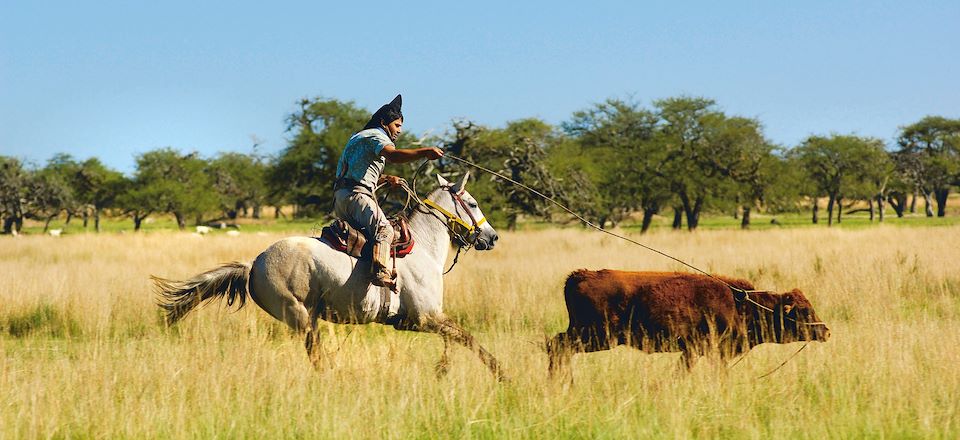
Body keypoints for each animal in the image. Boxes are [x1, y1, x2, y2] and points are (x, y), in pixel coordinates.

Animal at [154, 174, 506, 380]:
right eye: (472, 202)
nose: (491, 237)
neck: (422, 247)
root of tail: (253, 264)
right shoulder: (426, 318)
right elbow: (468, 339)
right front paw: (501, 374)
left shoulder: (417, 321)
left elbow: (456, 339)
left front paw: (444, 370)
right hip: (300, 317)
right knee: (317, 356)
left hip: (308, 318)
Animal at [552, 270, 828, 376]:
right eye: (803, 311)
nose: (825, 331)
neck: (739, 304)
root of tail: (578, 276)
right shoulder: (703, 350)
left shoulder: (694, 352)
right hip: (596, 336)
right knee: (558, 347)